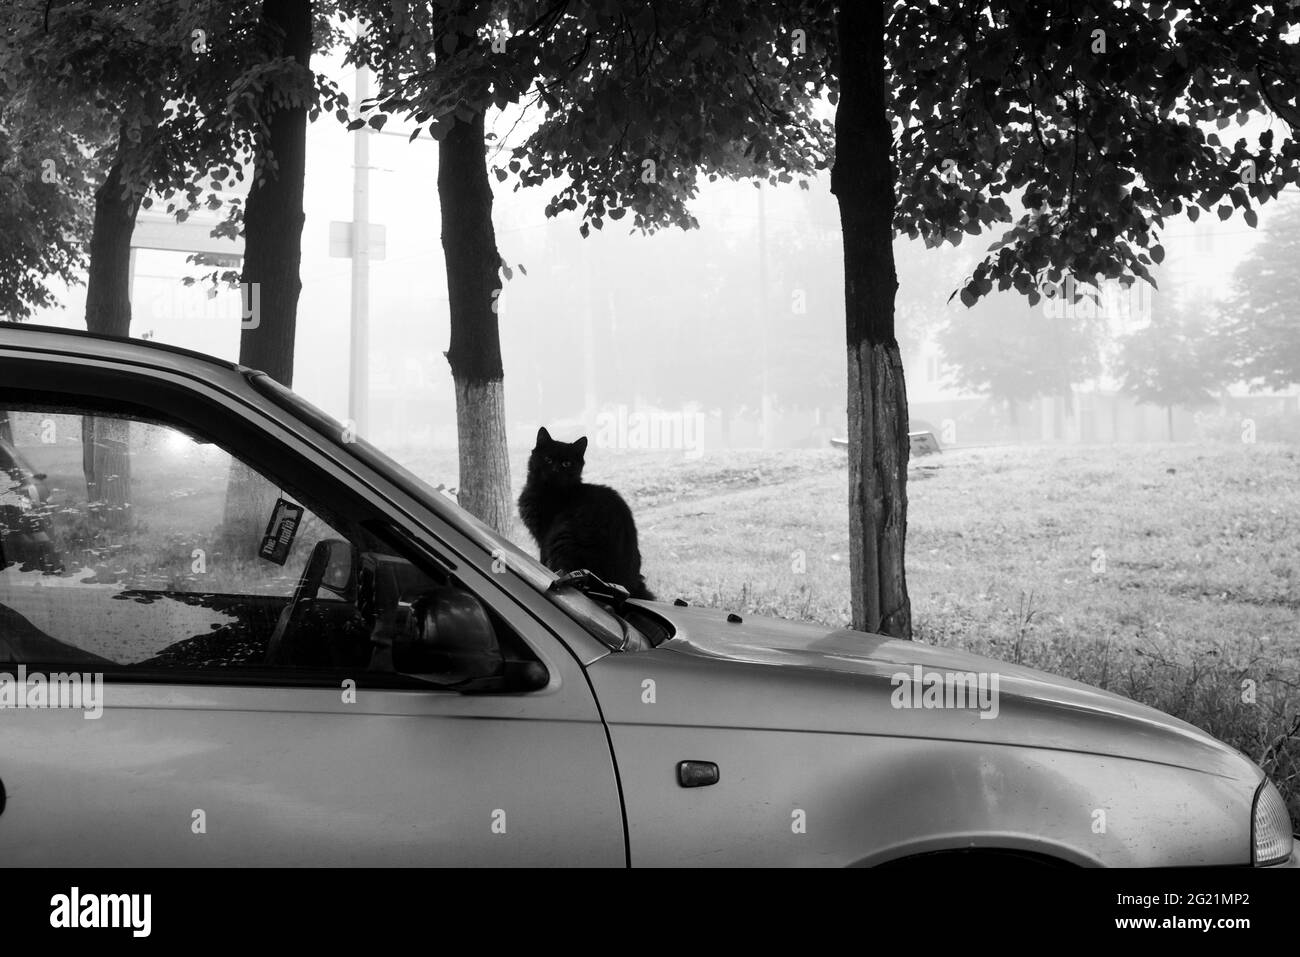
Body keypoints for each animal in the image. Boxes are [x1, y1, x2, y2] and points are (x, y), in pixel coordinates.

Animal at [517, 426, 655, 598]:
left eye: (566, 463)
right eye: (548, 459)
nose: (555, 469)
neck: (547, 490)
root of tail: (629, 586)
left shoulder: (545, 536)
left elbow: (543, 559)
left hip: (564, 537)